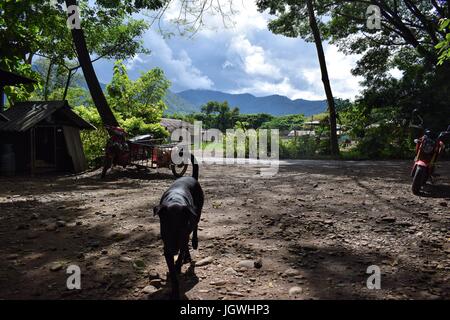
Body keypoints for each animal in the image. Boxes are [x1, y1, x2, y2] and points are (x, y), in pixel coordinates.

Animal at [155, 154, 204, 298]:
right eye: (165, 228)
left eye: (180, 229)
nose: (173, 249)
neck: (175, 201)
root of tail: (192, 177)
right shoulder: (167, 248)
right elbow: (172, 271)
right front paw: (175, 289)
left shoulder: (183, 236)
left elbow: (181, 251)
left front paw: (178, 265)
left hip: (197, 212)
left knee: (195, 227)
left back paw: (193, 244)